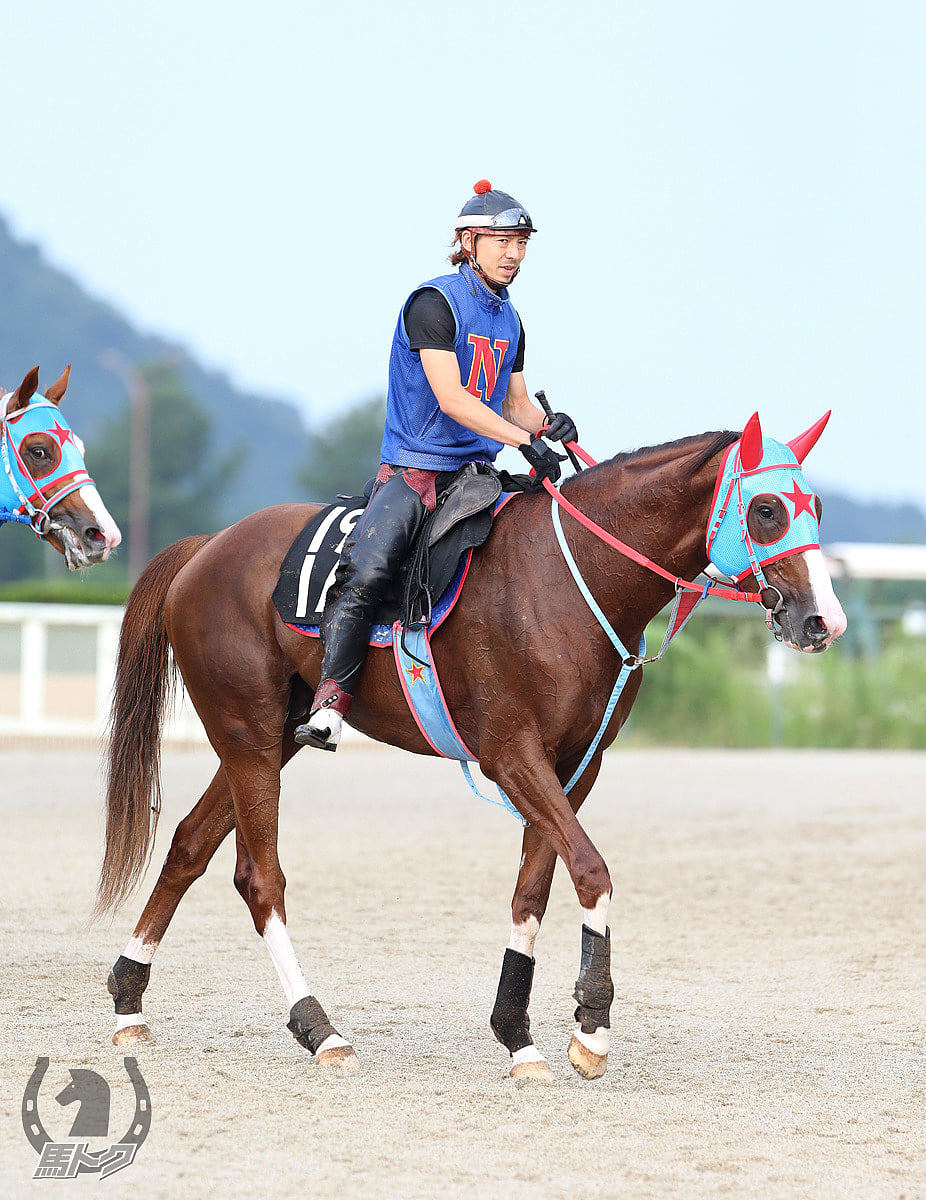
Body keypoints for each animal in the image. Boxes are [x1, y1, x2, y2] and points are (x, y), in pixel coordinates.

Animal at [95, 410, 844, 1080]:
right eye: (768, 510)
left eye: (816, 505)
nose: (823, 621)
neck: (569, 579)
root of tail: (207, 546)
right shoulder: (512, 756)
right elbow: (591, 871)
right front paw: (592, 1028)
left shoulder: (575, 766)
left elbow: (532, 891)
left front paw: (518, 1034)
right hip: (248, 734)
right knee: (259, 878)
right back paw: (320, 1027)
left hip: (273, 737)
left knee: (189, 844)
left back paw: (129, 1001)